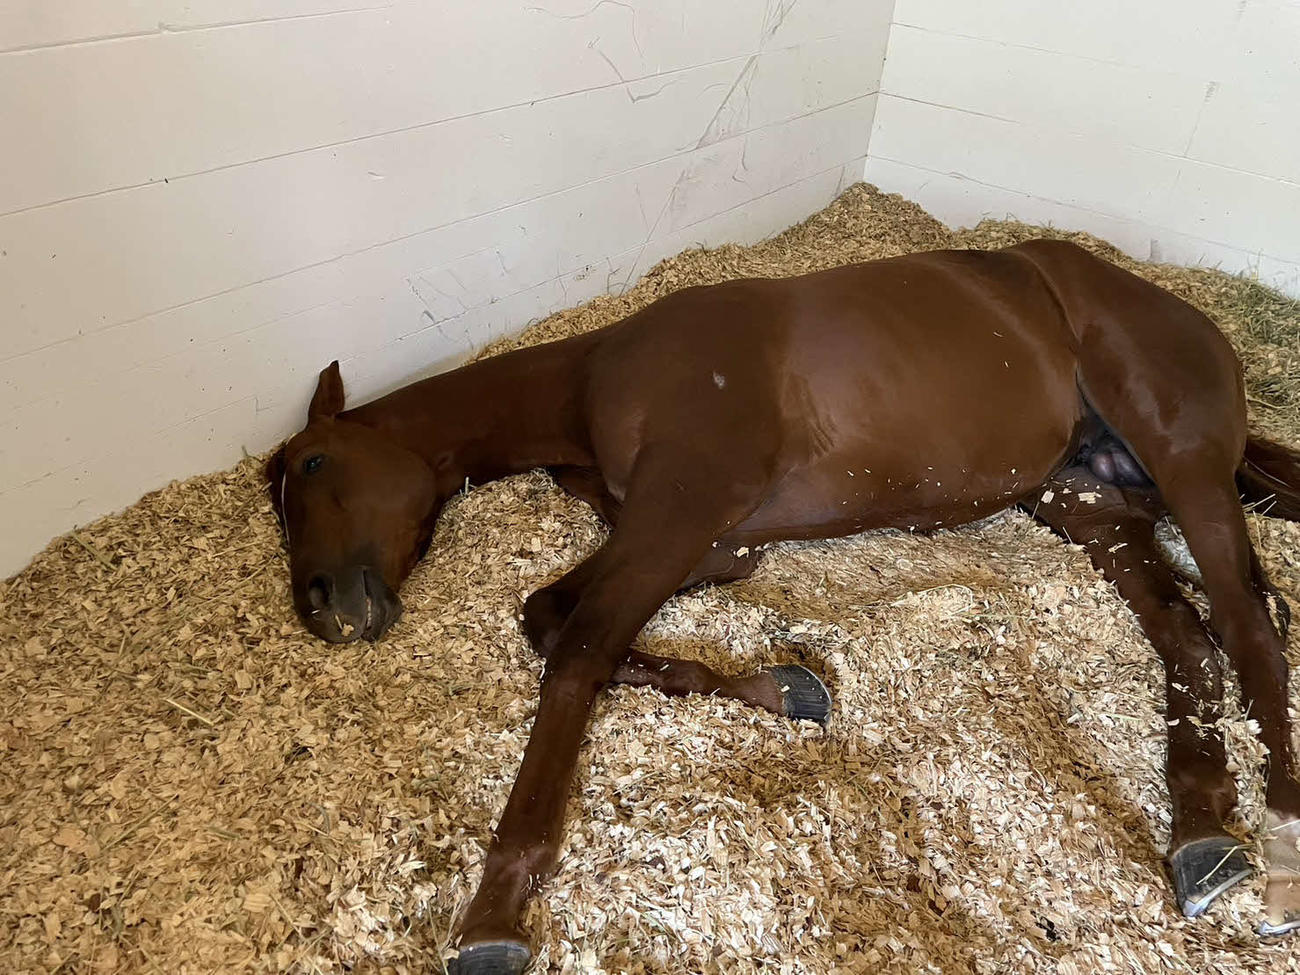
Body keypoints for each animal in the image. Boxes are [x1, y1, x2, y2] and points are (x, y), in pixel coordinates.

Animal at [267, 239, 1300, 972]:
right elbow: (551, 616)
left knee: (1250, 623)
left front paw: (495, 912)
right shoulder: (715, 544)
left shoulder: (681, 513)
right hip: (1086, 499)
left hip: (1181, 461)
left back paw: (1280, 836)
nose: (322, 607)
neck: (602, 373)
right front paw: (788, 685)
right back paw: (1206, 835)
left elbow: (580, 646)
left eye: (313, 464)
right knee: (1192, 635)